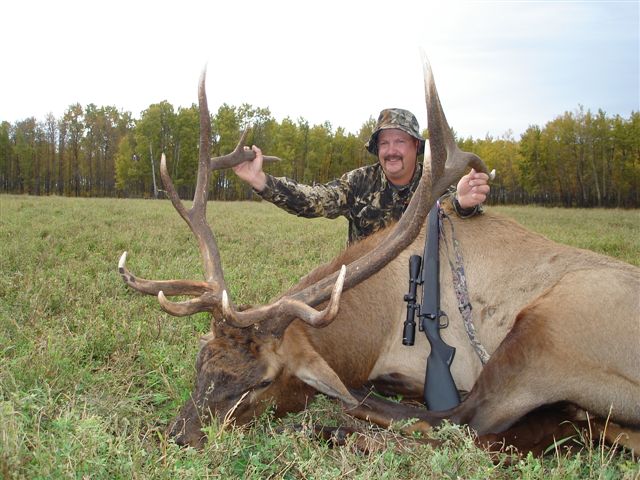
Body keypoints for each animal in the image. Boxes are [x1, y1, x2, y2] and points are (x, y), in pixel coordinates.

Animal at [118, 60, 640, 454]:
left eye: (262, 383)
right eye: (201, 361)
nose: (180, 437)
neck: (368, 334)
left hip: (549, 327)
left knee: (464, 422)